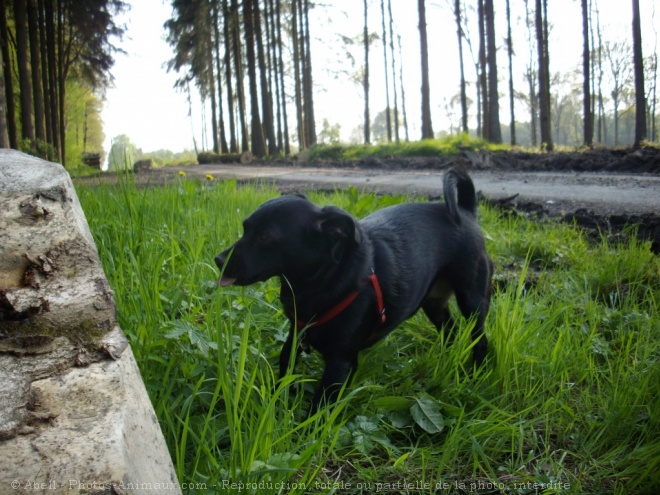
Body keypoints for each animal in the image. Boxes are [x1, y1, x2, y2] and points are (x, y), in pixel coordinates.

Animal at [214, 169, 492, 412]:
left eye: (265, 237)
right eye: (245, 228)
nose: (218, 259)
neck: (318, 282)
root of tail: (465, 212)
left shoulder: (340, 363)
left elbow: (319, 407)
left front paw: (304, 433)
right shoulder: (295, 338)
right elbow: (284, 373)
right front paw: (275, 405)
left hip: (472, 299)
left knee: (479, 339)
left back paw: (477, 374)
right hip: (433, 303)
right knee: (451, 330)